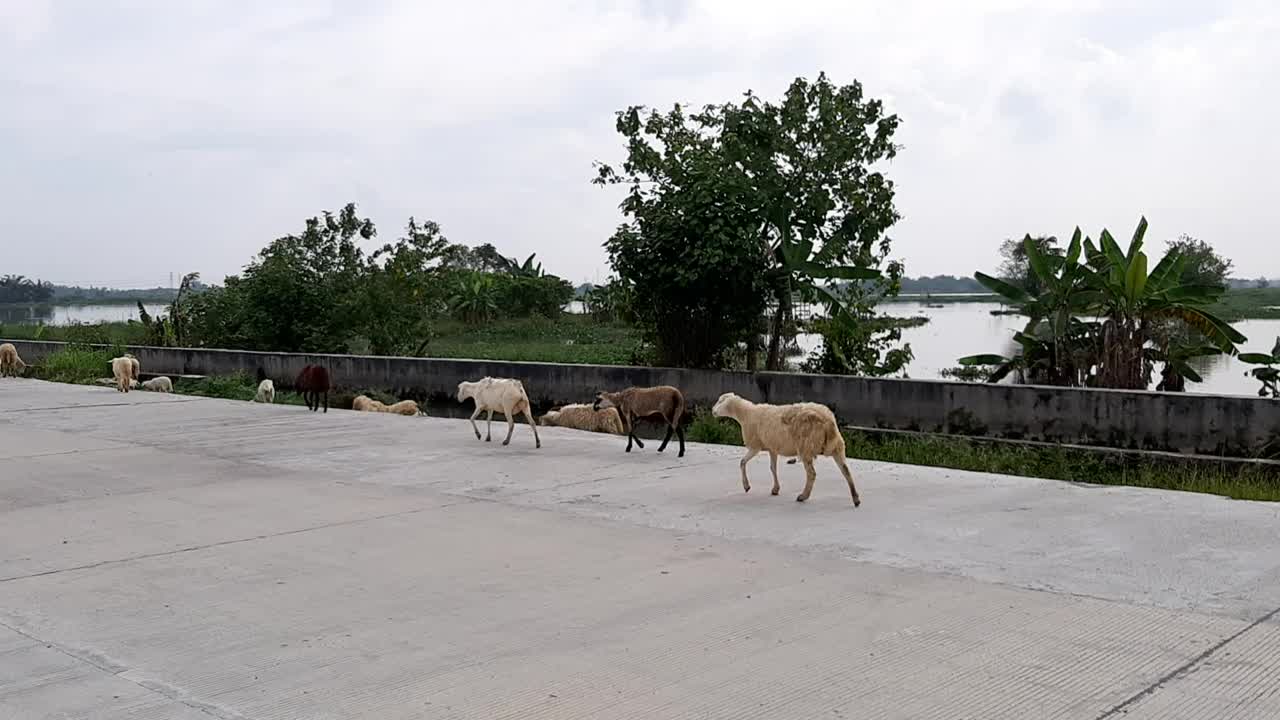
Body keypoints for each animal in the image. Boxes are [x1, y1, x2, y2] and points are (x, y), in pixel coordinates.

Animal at [711, 392, 860, 504]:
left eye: (720, 401)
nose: (713, 411)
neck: (745, 414)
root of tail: (828, 421)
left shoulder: (755, 446)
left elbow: (742, 462)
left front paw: (746, 486)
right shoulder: (772, 448)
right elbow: (773, 468)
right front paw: (775, 489)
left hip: (806, 447)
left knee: (812, 474)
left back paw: (803, 496)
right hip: (837, 446)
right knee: (846, 470)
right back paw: (856, 498)